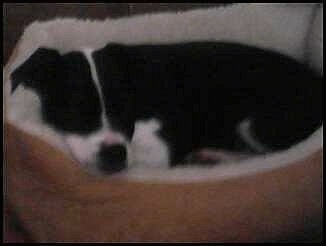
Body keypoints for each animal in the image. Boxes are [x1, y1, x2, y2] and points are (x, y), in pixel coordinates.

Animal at [8, 41, 322, 174]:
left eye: (128, 108)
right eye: (74, 110)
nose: (115, 154)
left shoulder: (163, 146)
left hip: (257, 124)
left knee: (273, 154)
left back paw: (214, 156)